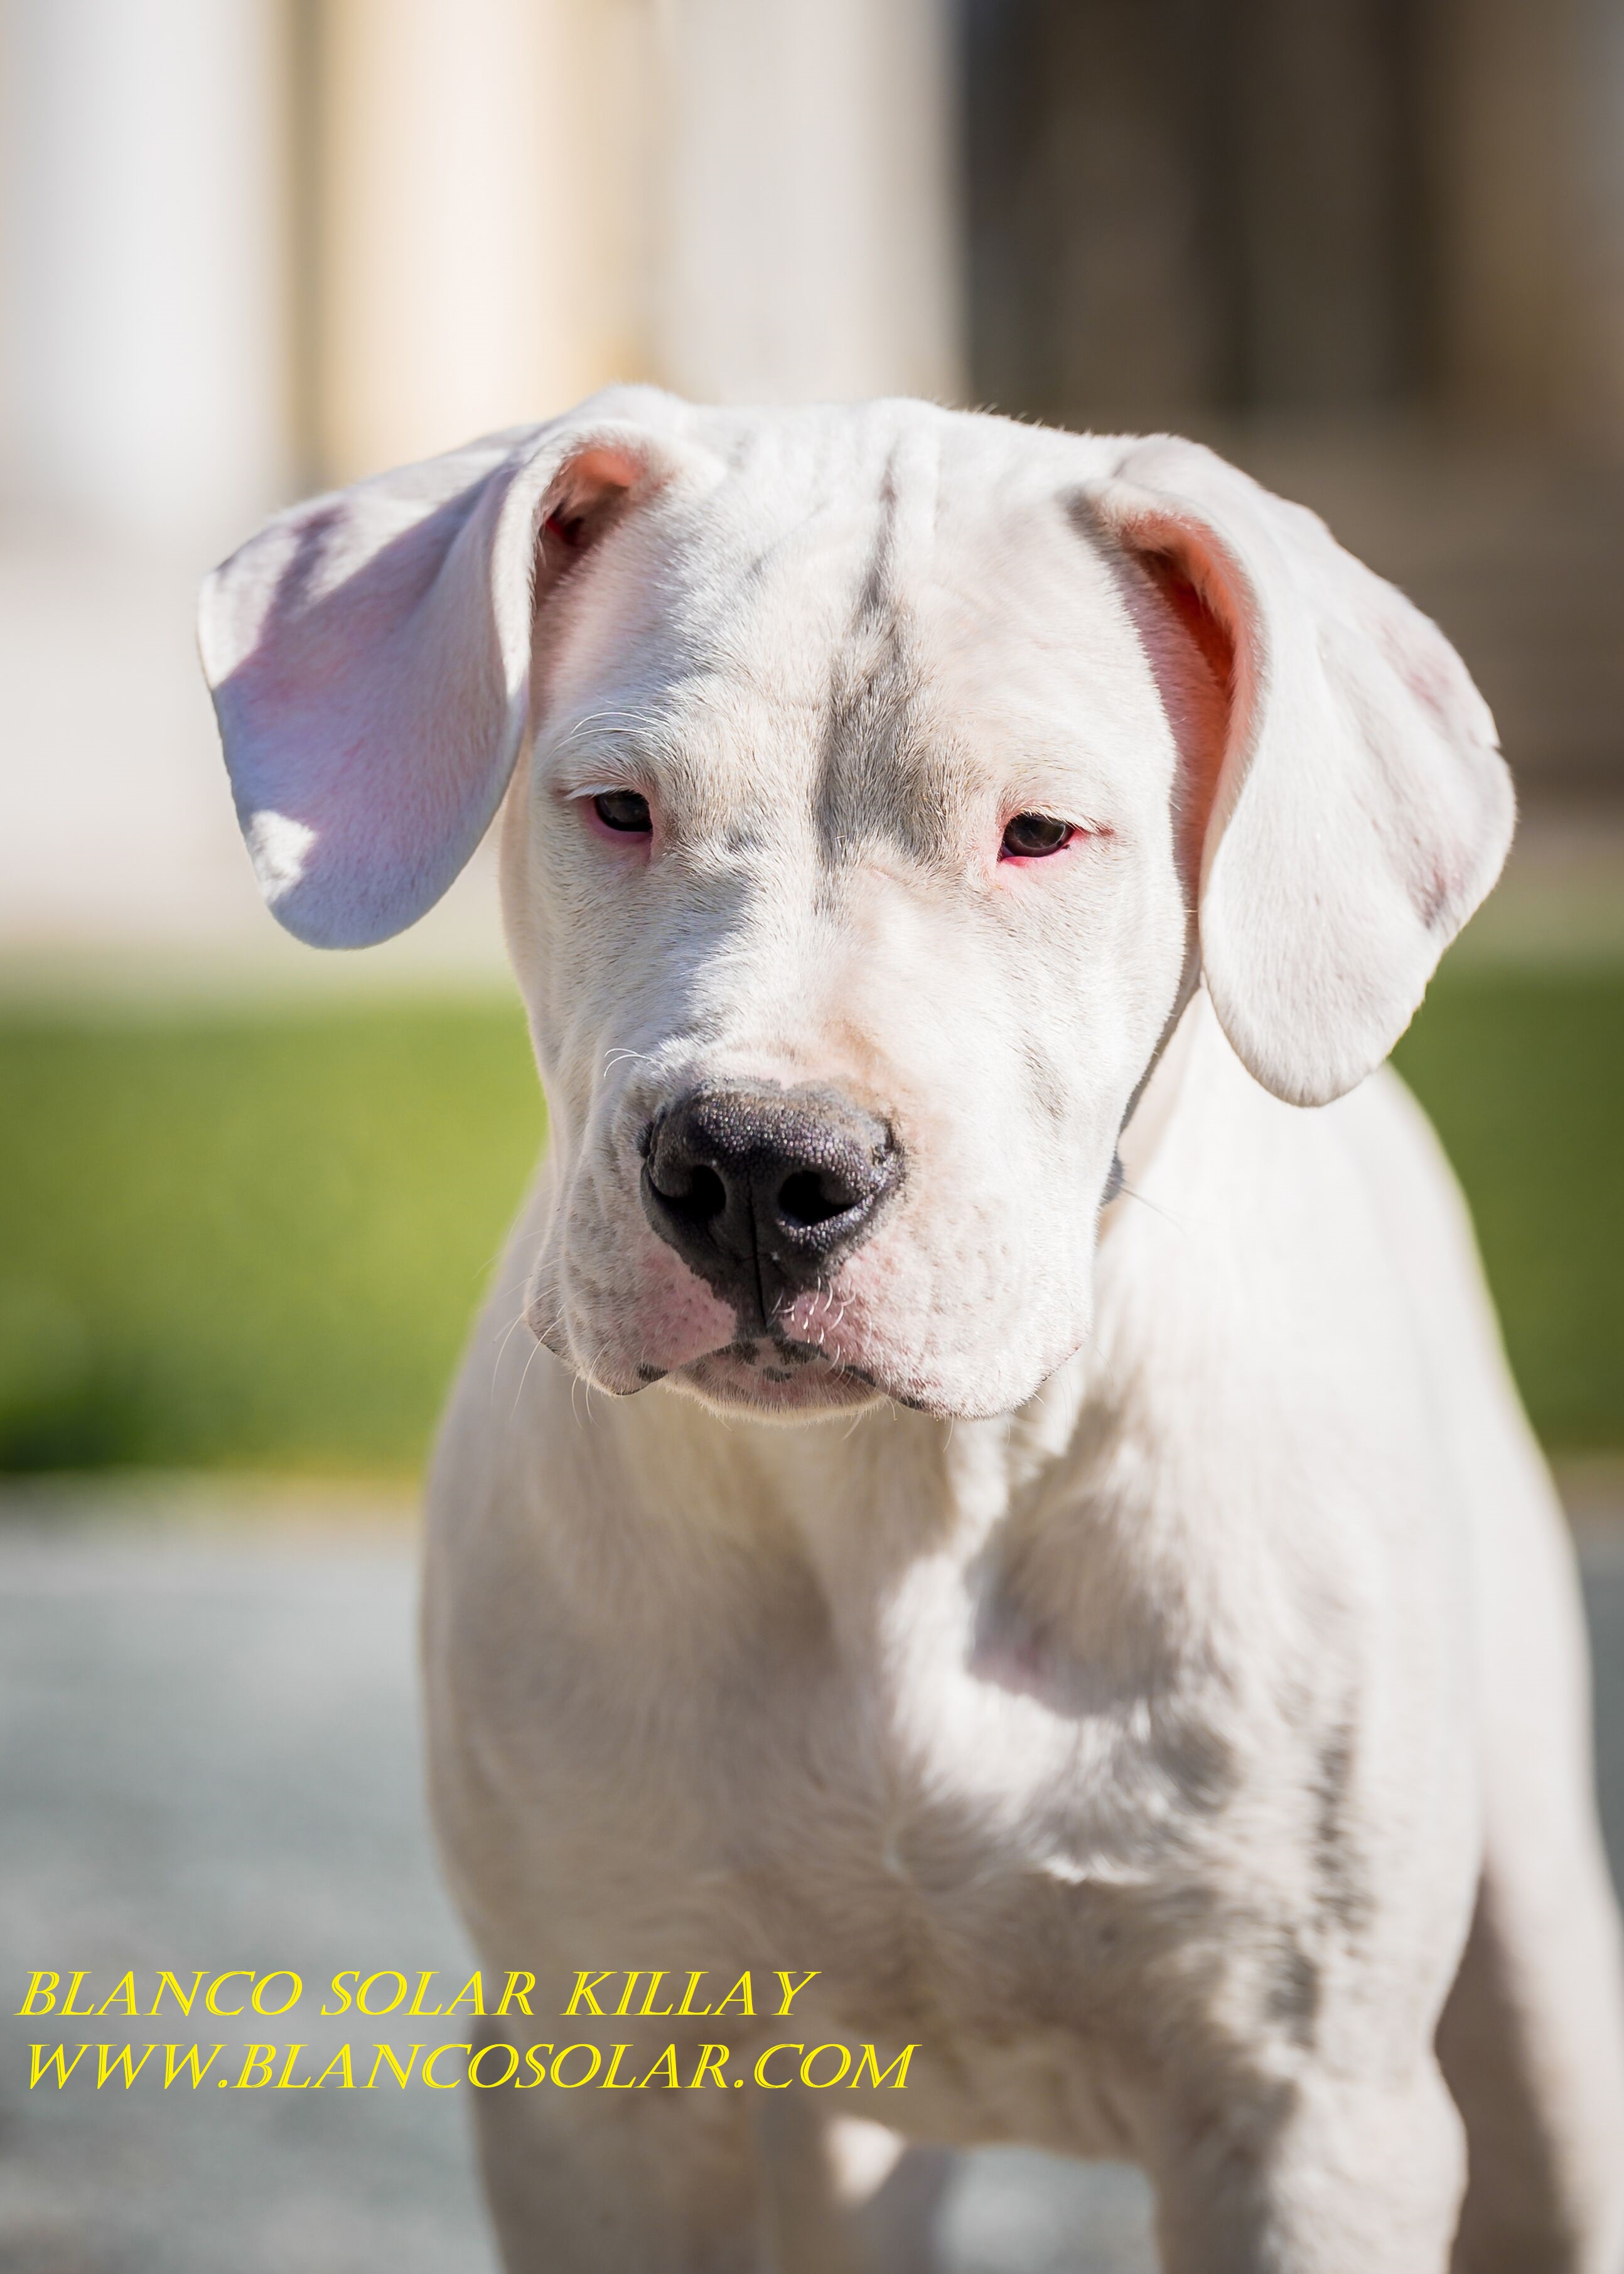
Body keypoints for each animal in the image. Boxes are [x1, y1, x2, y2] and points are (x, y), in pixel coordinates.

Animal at [202, 396, 1619, 2274]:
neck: (903, 1491)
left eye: (1039, 835)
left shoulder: (1305, 2111)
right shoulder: (598, 2086)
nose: (752, 1163)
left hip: (1532, 1992)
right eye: (616, 807)